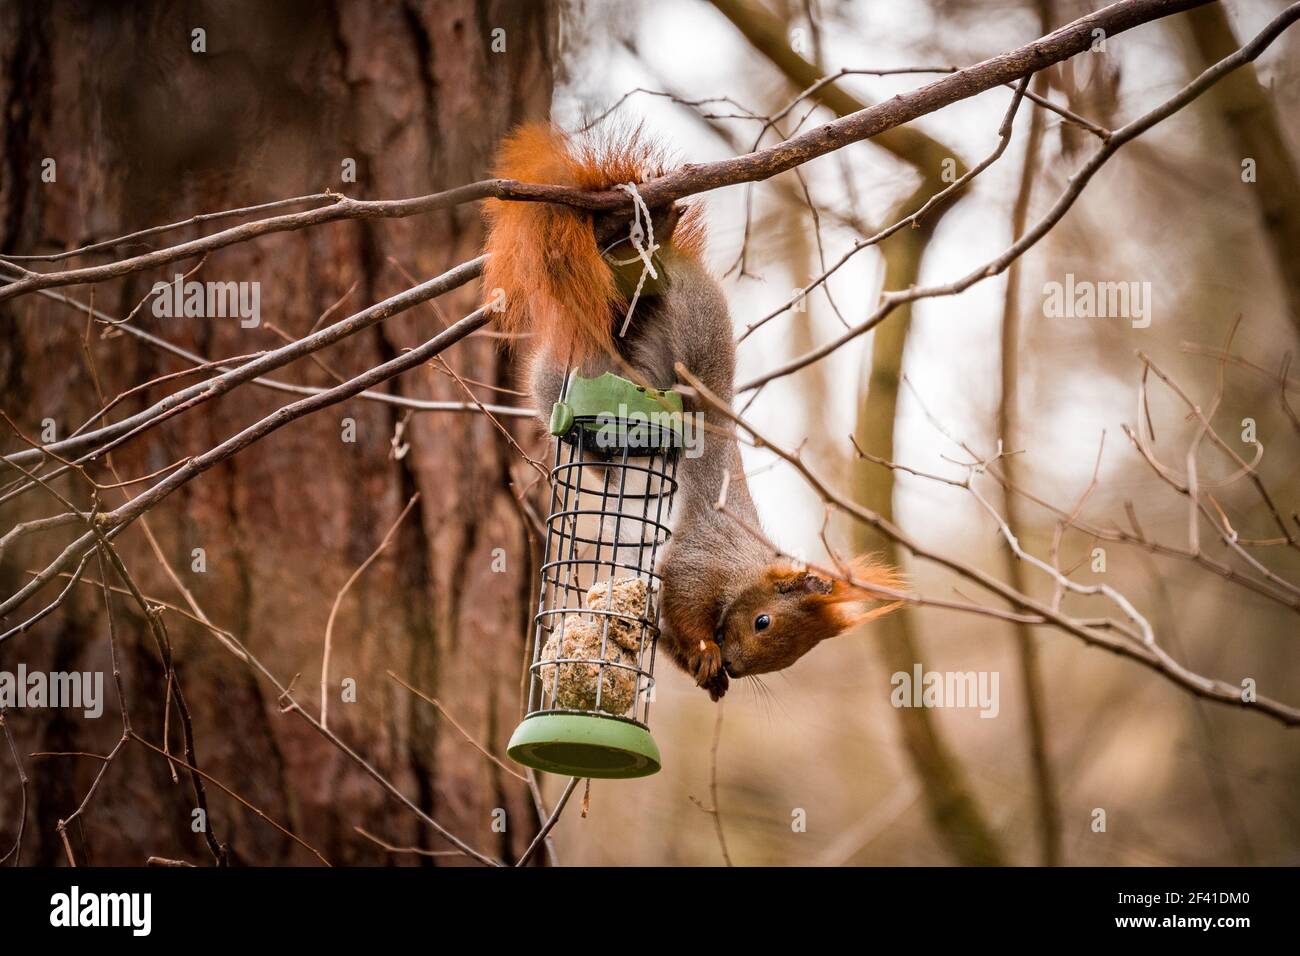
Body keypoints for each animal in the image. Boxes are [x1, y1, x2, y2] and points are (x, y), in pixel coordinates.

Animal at [483, 123, 901, 701]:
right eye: (764, 621)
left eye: (793, 655)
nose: (739, 667)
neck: (743, 565)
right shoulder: (697, 558)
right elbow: (682, 602)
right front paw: (707, 652)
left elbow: (668, 634)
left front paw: (708, 672)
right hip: (575, 364)